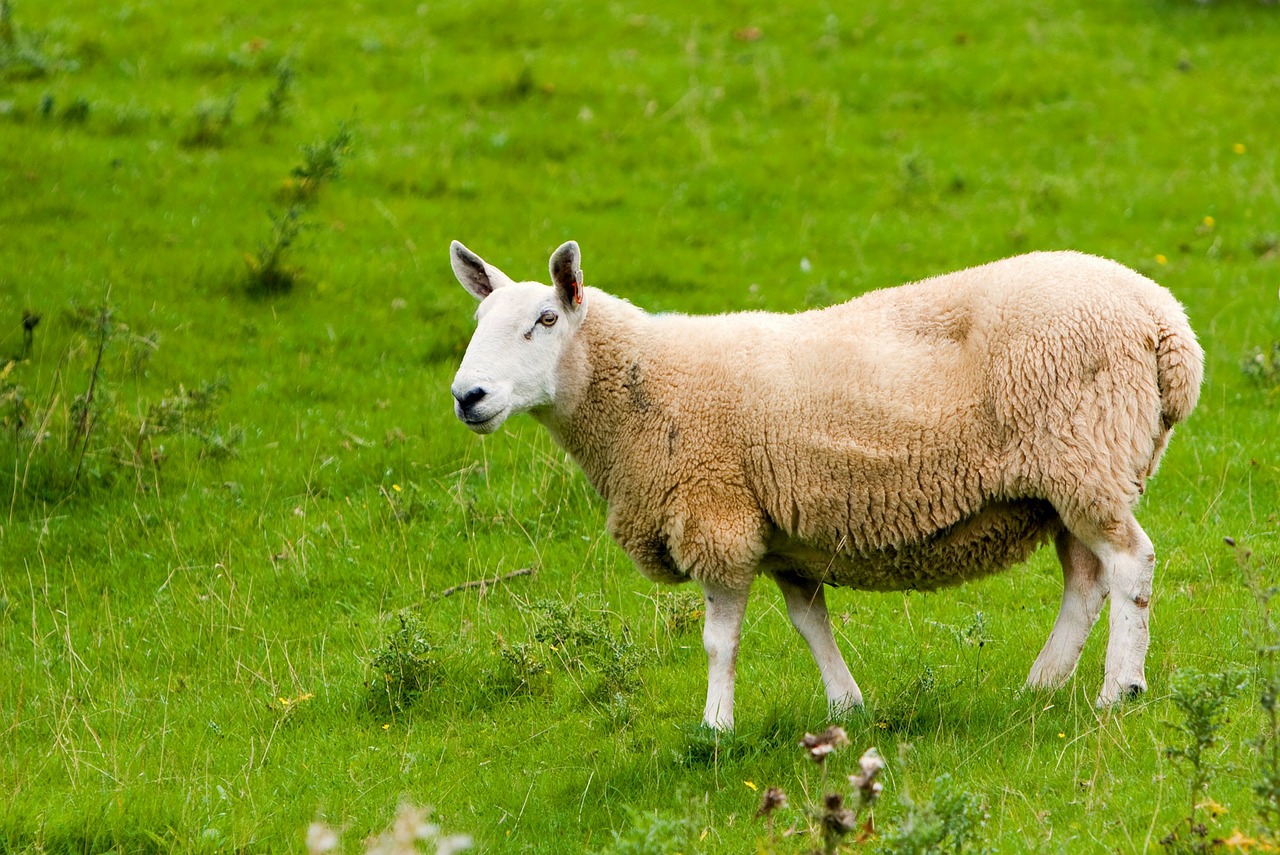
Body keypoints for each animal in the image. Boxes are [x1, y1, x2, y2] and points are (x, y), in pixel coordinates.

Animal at [448, 239, 1198, 727]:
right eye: (478, 323)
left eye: (545, 319)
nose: (467, 396)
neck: (644, 385)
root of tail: (1166, 323)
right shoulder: (784, 538)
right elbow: (811, 623)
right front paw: (847, 705)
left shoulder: (718, 515)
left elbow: (719, 641)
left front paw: (714, 728)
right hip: (1069, 476)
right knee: (1087, 579)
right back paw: (1041, 686)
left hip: (1084, 450)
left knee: (1130, 563)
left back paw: (1117, 690)